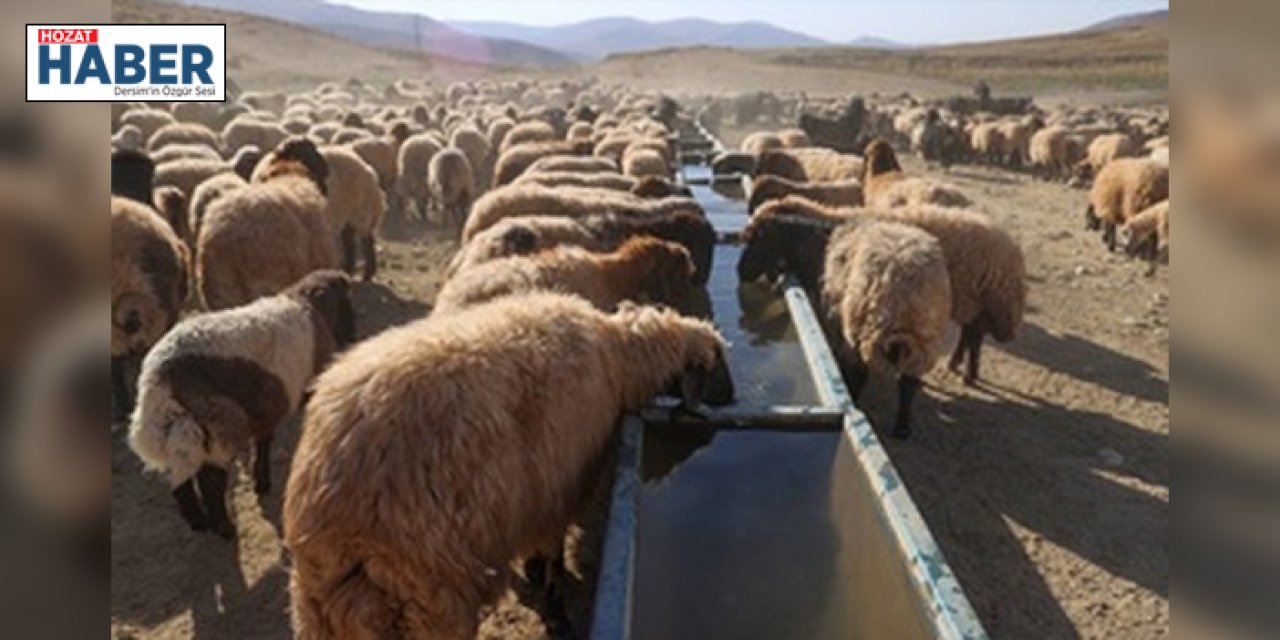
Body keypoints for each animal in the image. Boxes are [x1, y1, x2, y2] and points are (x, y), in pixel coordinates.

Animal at [126, 271, 355, 540]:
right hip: (223, 421)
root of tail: (157, 377)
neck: (307, 305)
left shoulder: (266, 405)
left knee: (182, 475)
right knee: (210, 478)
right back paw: (224, 528)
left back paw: (199, 521)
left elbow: (264, 440)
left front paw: (261, 481)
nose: (352, 337)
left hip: (183, 424)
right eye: (347, 302)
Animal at [286, 291, 737, 640]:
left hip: (321, 606)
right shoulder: (559, 487)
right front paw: (552, 593)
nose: (733, 399)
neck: (622, 360)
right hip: (430, 595)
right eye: (718, 364)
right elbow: (552, 549)